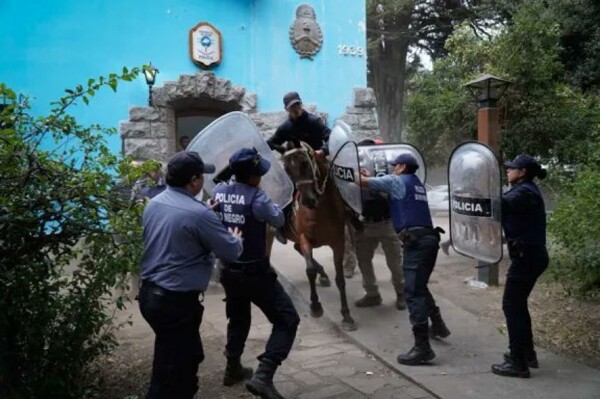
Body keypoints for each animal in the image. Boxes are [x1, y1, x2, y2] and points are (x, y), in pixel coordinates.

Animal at [276, 139, 356, 332]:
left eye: (305, 163)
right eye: (287, 169)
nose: (307, 200)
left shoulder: (338, 242)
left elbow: (340, 278)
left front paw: (346, 315)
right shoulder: (305, 238)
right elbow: (309, 271)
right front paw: (315, 306)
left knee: (296, 248)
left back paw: (324, 274)